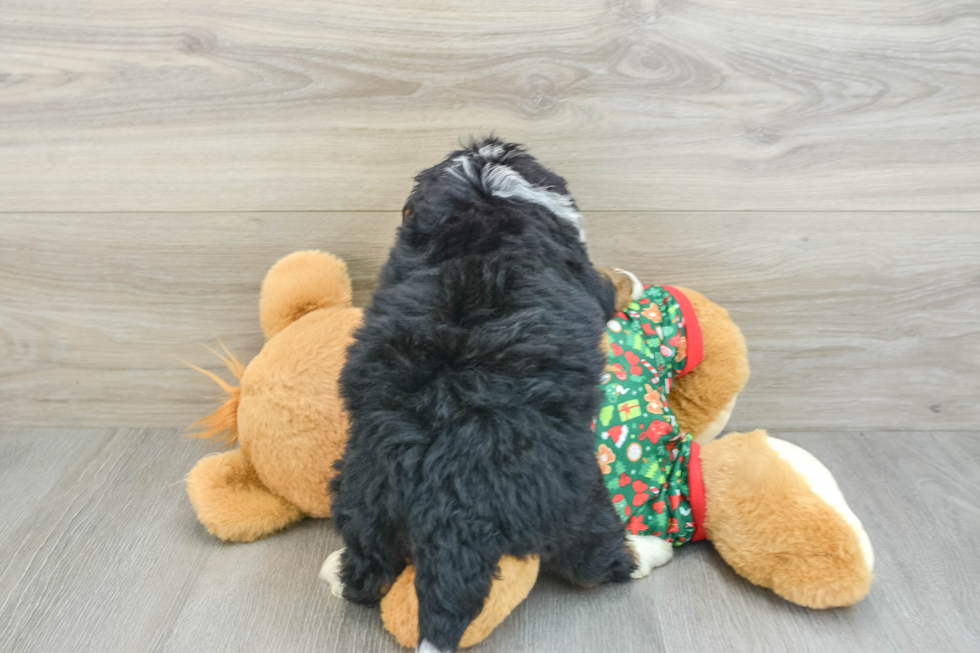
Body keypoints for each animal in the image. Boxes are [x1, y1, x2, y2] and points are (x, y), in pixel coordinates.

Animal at [322, 138, 660, 652]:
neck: (483, 201)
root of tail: (450, 498)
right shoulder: (584, 274)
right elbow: (607, 283)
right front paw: (632, 279)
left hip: (362, 492)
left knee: (368, 571)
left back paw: (336, 572)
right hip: (578, 496)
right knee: (595, 559)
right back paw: (647, 550)